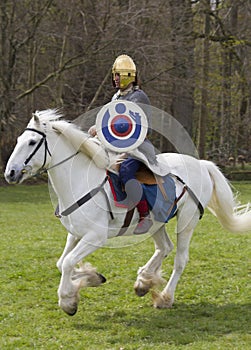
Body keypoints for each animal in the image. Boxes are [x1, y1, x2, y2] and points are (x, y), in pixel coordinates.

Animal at [4, 108, 251, 314]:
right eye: (19, 140)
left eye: (32, 142)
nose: (10, 173)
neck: (79, 182)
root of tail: (201, 164)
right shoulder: (75, 234)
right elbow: (63, 263)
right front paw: (93, 277)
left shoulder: (95, 237)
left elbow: (67, 263)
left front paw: (68, 301)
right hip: (156, 222)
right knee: (164, 247)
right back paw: (144, 281)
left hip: (187, 221)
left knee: (180, 259)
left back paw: (165, 297)